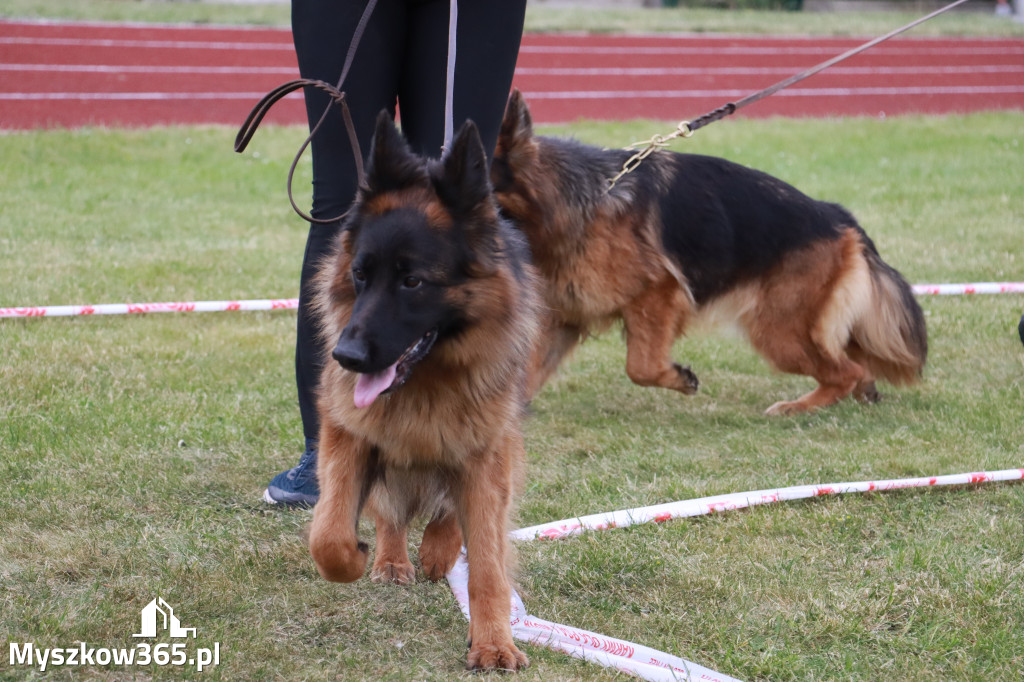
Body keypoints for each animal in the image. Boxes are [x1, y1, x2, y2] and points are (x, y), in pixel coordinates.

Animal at [307, 111, 540, 667]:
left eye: (412, 282)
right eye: (360, 274)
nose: (345, 358)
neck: (426, 382)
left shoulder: (486, 453)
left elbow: (487, 561)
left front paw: (494, 642)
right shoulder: (348, 435)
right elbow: (329, 535)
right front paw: (356, 557)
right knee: (389, 513)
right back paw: (392, 558)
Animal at [493, 91, 929, 413]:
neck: (571, 204)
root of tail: (838, 217)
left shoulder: (656, 295)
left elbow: (640, 366)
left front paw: (679, 379)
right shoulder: (565, 318)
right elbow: (521, 379)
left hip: (779, 333)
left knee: (846, 370)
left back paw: (798, 406)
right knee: (855, 362)